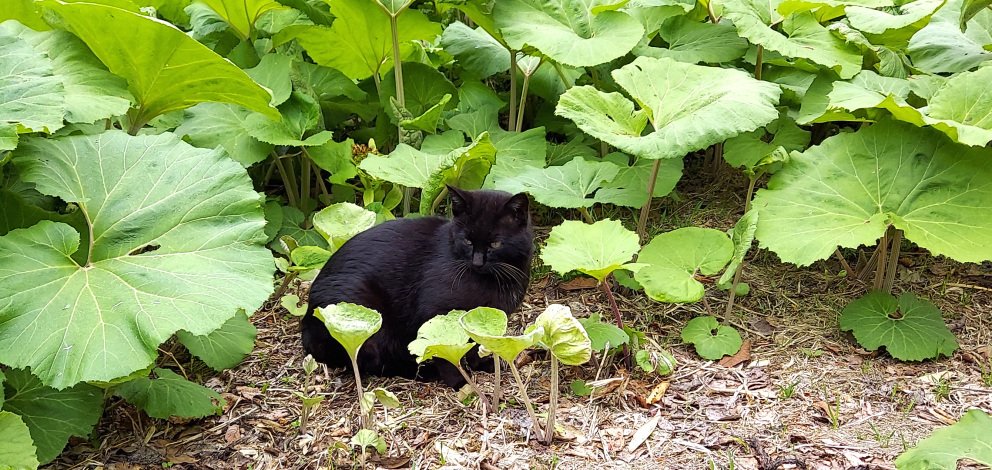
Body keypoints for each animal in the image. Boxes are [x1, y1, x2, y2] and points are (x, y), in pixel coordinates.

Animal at [302, 185, 536, 388]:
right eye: (467, 241)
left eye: (495, 244)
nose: (477, 262)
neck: (495, 279)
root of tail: (305, 322)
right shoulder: (435, 313)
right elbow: (445, 348)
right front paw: (460, 382)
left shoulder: (481, 318)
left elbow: (475, 342)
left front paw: (481, 364)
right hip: (364, 322)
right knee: (372, 363)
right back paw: (424, 372)